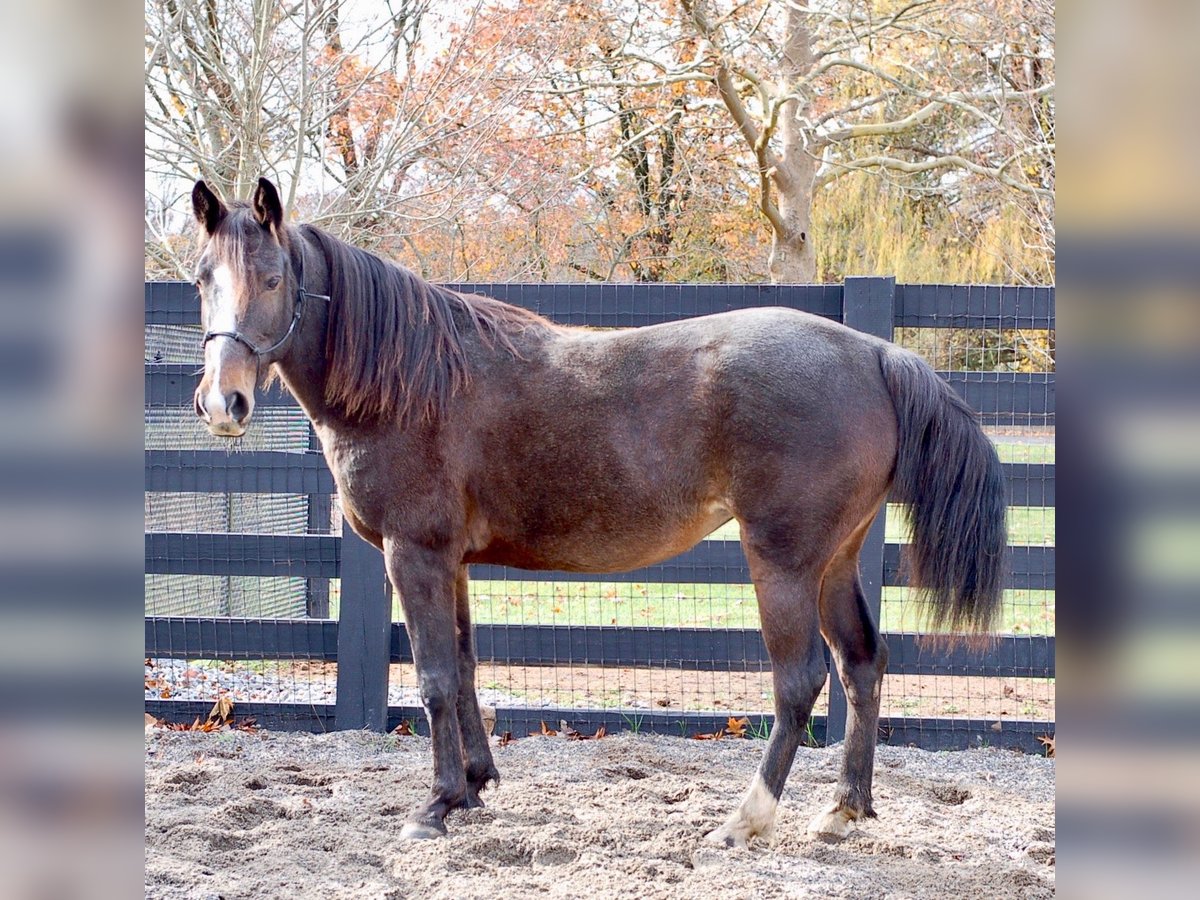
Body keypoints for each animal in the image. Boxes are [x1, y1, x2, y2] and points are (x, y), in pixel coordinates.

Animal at [190, 177, 1006, 846]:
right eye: (202, 279)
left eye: (271, 278)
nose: (222, 403)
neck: (413, 380)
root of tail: (874, 353)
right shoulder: (452, 563)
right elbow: (466, 666)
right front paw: (474, 787)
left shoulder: (412, 553)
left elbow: (433, 679)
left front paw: (436, 805)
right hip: (836, 560)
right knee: (862, 662)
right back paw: (844, 810)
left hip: (783, 563)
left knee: (800, 680)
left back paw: (745, 819)